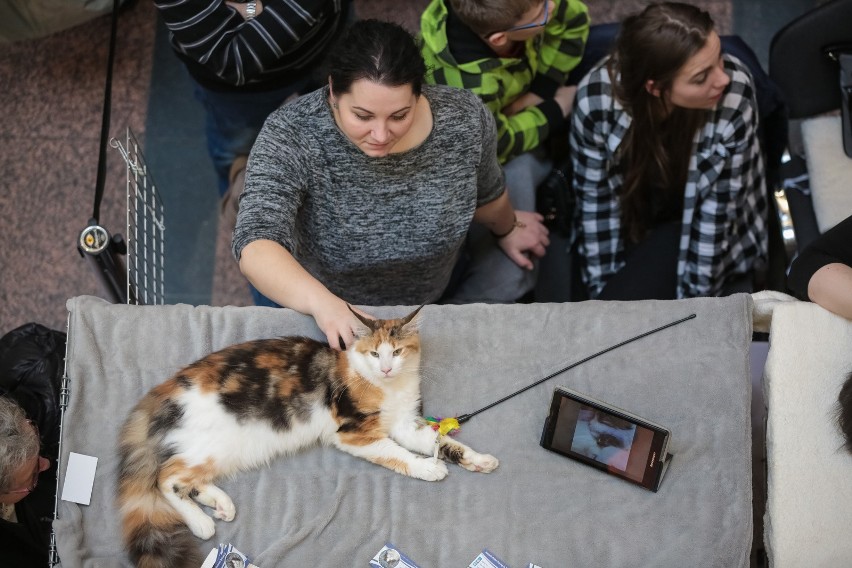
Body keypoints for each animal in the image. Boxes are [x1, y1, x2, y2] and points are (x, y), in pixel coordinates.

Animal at [116, 308, 496, 564]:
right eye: (375, 353)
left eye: (398, 352)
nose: (387, 368)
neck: (387, 386)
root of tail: (164, 390)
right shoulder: (353, 432)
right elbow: (399, 454)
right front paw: (428, 468)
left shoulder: (405, 423)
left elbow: (442, 442)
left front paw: (478, 460)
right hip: (211, 443)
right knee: (165, 478)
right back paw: (200, 523)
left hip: (226, 450)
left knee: (187, 478)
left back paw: (220, 504)